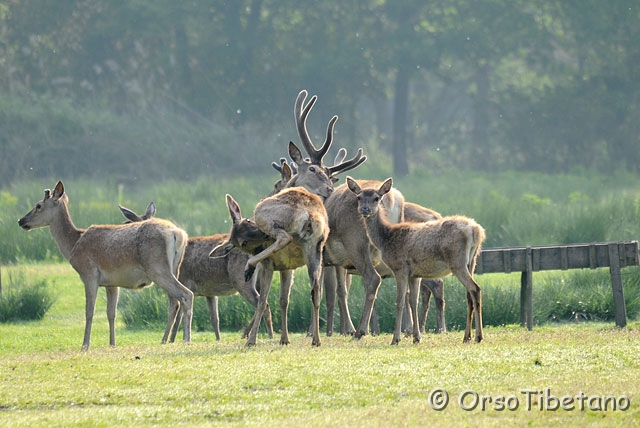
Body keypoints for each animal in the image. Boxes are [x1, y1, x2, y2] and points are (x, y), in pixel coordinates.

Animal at [18, 181, 194, 352]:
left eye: (38, 205)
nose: (21, 221)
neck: (73, 244)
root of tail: (178, 233)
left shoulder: (89, 274)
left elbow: (89, 311)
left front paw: (85, 345)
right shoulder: (112, 283)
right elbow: (111, 313)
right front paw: (112, 344)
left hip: (157, 268)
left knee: (186, 295)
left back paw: (186, 339)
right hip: (174, 268)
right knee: (174, 302)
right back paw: (167, 340)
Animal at [119, 202, 274, 342]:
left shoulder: (183, 281)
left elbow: (178, 314)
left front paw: (171, 340)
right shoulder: (209, 292)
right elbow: (214, 318)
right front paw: (217, 340)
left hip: (241, 280)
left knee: (264, 304)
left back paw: (268, 336)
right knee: (263, 301)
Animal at [348, 177, 488, 344]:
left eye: (376, 198)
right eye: (359, 197)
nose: (364, 209)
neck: (386, 238)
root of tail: (476, 230)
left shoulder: (400, 268)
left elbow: (400, 301)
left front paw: (396, 339)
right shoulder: (414, 274)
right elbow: (413, 301)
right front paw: (416, 337)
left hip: (457, 262)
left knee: (475, 289)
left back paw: (478, 336)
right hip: (472, 261)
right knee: (469, 294)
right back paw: (467, 336)